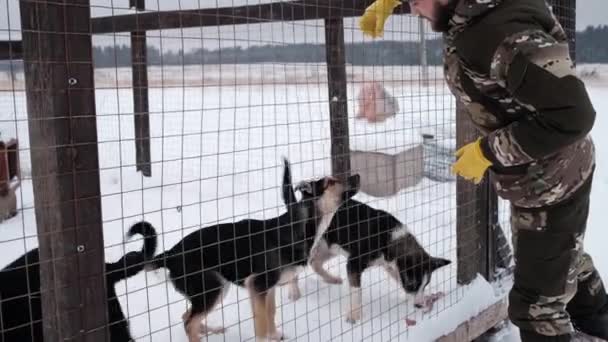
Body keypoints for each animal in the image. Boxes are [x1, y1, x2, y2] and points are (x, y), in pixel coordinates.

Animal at [147, 160, 360, 342]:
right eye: (330, 182)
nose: (357, 175)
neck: (298, 227)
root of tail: (171, 253)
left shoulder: (269, 288)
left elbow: (270, 313)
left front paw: (274, 335)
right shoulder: (257, 285)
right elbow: (261, 323)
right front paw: (267, 337)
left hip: (218, 288)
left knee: (186, 316)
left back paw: (212, 330)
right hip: (212, 288)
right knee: (189, 322)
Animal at [284, 198, 452, 324]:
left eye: (425, 285)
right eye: (412, 284)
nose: (419, 305)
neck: (389, 238)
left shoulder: (390, 265)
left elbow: (398, 278)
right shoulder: (353, 264)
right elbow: (356, 290)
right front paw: (354, 315)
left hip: (330, 246)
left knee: (315, 263)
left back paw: (331, 278)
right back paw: (294, 292)